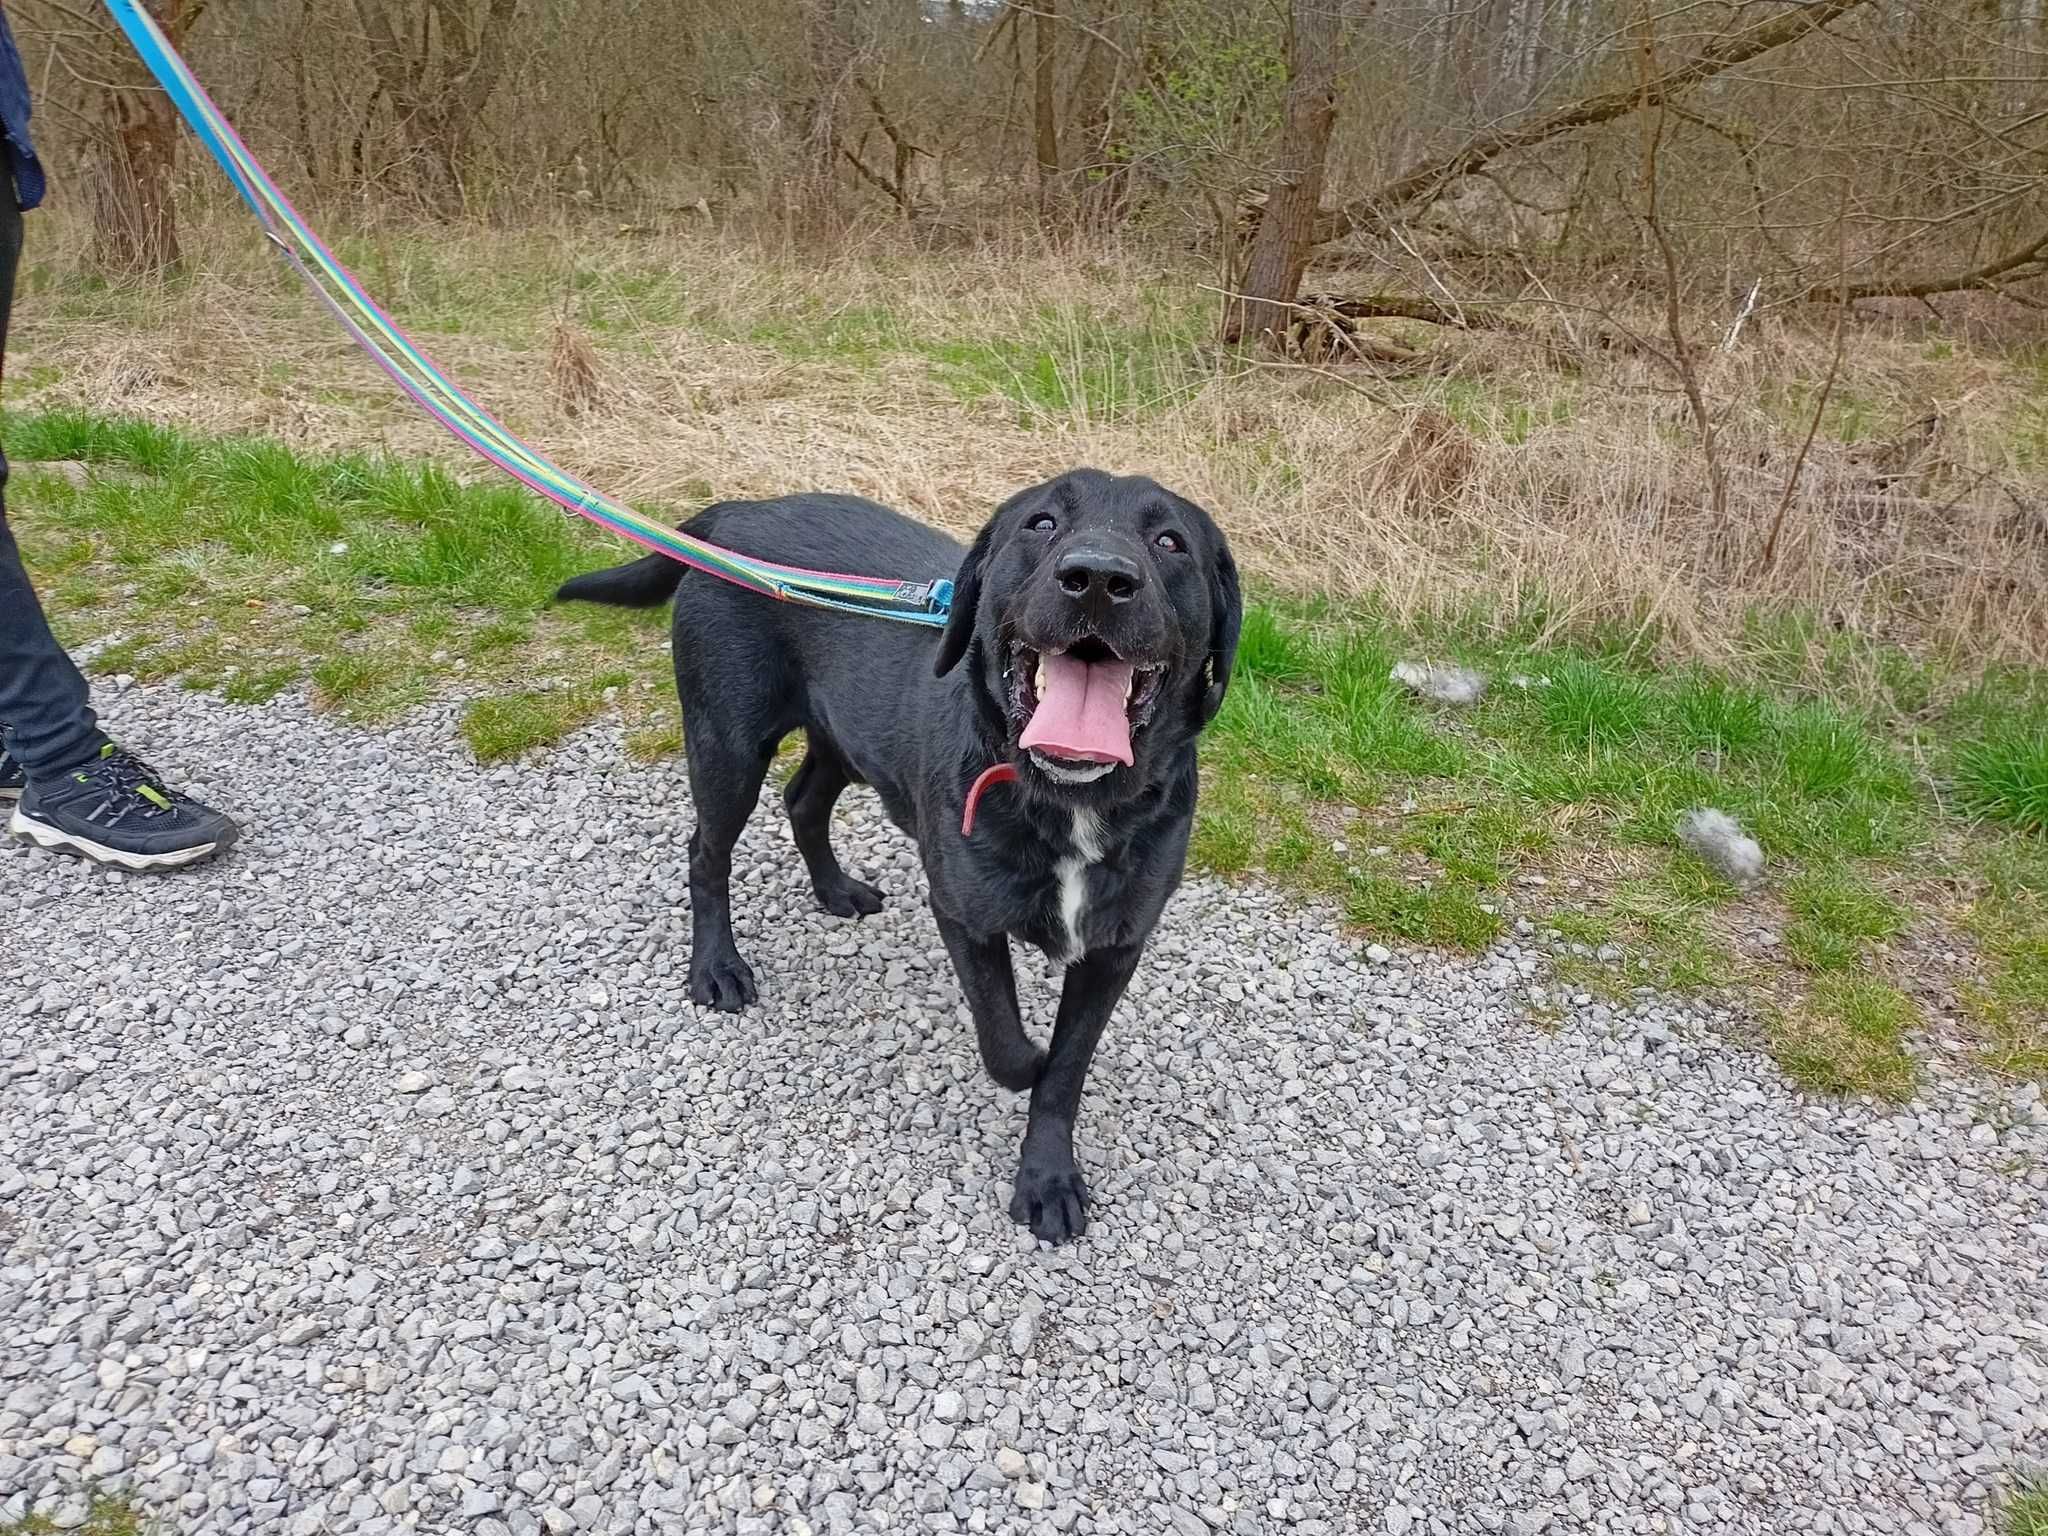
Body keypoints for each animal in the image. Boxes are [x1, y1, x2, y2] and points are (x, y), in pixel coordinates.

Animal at [552, 473, 1236, 1253]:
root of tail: (736, 513)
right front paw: (1031, 1064)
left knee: (804, 801)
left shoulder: (1116, 947)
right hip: (728, 742)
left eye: (1170, 541)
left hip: (843, 735)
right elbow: (1006, 1042)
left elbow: (1068, 1069)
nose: (1097, 577)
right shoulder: (964, 913)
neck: (1070, 798)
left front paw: (1048, 1176)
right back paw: (717, 968)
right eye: (1041, 523)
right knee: (706, 853)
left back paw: (835, 890)